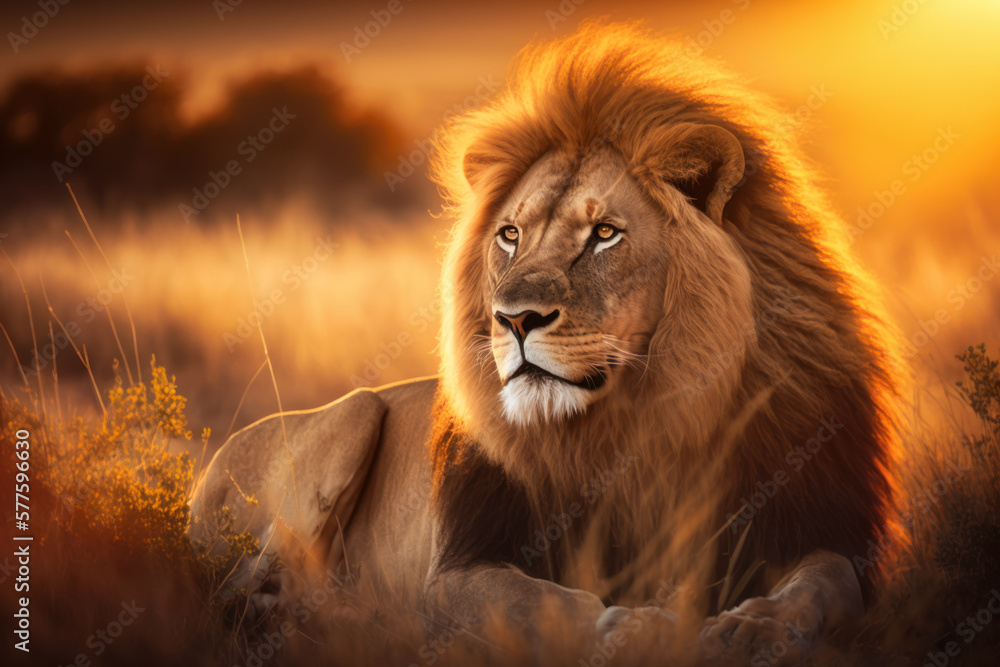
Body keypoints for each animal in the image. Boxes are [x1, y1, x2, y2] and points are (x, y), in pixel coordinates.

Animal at [188, 22, 902, 665]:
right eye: (510, 235)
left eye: (606, 233)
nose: (513, 319)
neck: (640, 421)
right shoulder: (459, 568)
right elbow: (546, 602)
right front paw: (637, 629)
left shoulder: (818, 522)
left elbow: (822, 587)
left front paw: (755, 629)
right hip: (353, 415)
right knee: (242, 592)